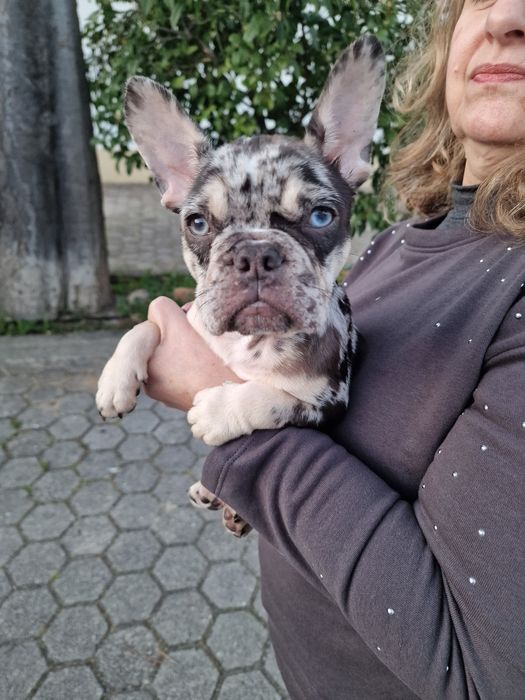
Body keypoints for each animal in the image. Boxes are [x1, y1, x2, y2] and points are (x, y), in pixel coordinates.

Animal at [96, 35, 386, 536]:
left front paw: (220, 410)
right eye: (197, 222)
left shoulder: (327, 404)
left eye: (321, 216)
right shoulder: (190, 315)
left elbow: (276, 401)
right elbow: (146, 325)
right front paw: (115, 377)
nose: (254, 254)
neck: (251, 341)